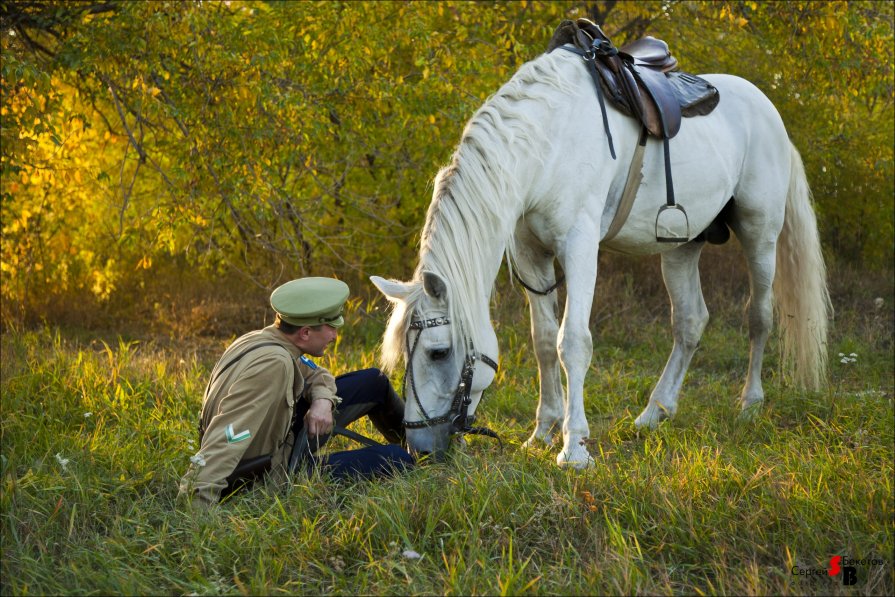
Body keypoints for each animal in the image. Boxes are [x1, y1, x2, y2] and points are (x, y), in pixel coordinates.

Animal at [370, 45, 832, 466]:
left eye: (438, 352)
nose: (419, 447)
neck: (547, 141)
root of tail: (769, 110)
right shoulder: (531, 255)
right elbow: (543, 342)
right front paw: (542, 432)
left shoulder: (579, 247)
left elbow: (572, 342)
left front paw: (574, 447)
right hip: (682, 248)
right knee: (690, 323)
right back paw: (654, 413)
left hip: (760, 234)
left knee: (759, 317)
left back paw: (749, 404)